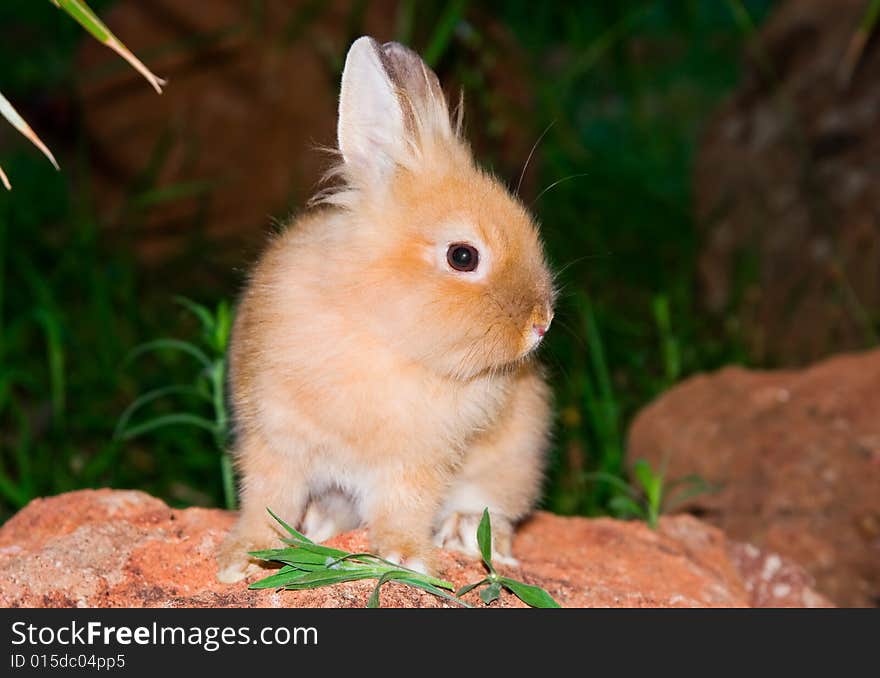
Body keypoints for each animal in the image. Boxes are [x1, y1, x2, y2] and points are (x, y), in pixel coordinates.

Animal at [217, 34, 552, 584]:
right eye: (463, 256)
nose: (540, 324)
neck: (379, 332)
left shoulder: (417, 463)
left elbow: (403, 509)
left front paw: (406, 558)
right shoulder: (275, 442)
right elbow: (266, 499)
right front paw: (242, 559)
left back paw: (469, 537)